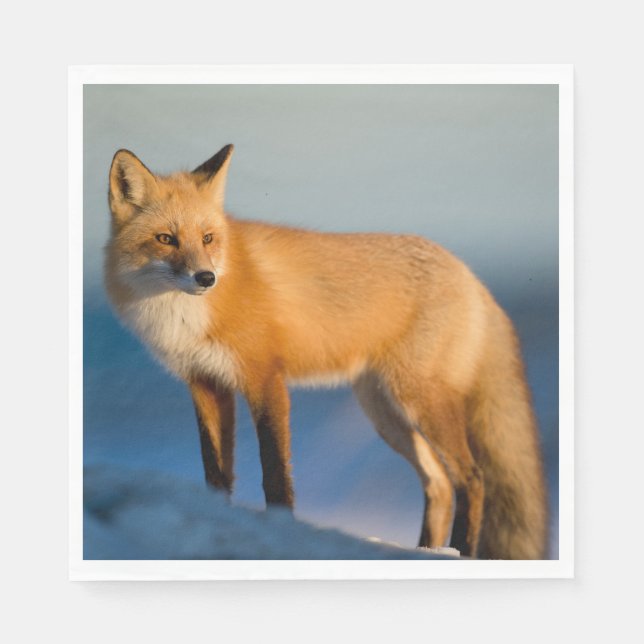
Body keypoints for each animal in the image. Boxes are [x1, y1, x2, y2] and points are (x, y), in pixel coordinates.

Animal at [104, 144, 548, 559]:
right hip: (384, 412)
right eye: (166, 239)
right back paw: (426, 550)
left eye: (208, 238)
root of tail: (471, 276)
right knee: (438, 483)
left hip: (419, 400)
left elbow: (275, 472)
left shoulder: (265, 378)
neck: (183, 316)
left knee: (472, 478)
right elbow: (216, 473)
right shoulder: (205, 384)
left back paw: (459, 551)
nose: (206, 278)